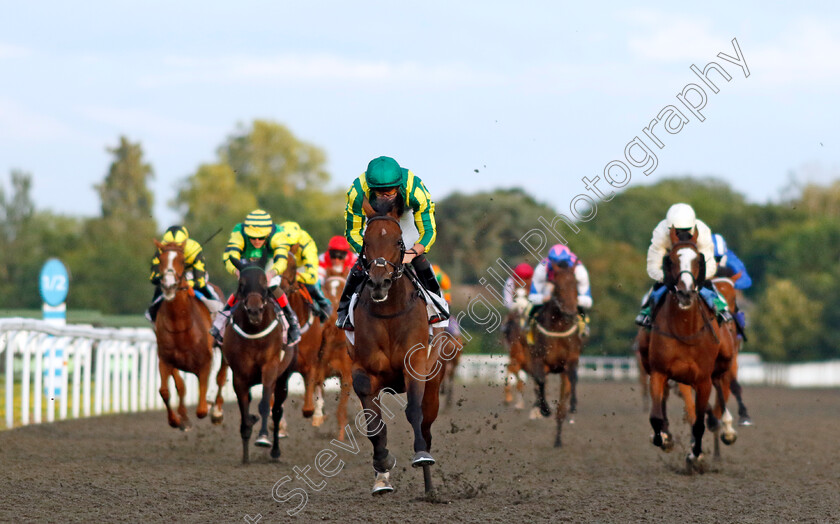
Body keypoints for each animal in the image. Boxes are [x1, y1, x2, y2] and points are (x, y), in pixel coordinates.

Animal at [153, 241, 226, 430]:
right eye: (160, 260)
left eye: (182, 260)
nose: (169, 286)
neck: (180, 326)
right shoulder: (166, 359)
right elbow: (167, 390)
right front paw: (178, 420)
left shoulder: (205, 361)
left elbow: (201, 407)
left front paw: (208, 407)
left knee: (221, 378)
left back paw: (217, 411)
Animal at [225, 258, 296, 462]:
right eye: (241, 284)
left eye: (264, 284)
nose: (255, 311)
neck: (254, 333)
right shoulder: (239, 376)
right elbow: (244, 408)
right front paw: (245, 452)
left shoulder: (270, 368)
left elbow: (265, 405)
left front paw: (263, 438)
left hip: (282, 379)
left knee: (277, 411)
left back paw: (275, 451)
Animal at [350, 203, 442, 494]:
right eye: (366, 242)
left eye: (398, 242)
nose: (379, 283)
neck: (389, 312)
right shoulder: (363, 372)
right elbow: (374, 426)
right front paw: (382, 464)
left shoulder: (415, 365)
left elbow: (414, 411)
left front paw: (421, 456)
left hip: (434, 383)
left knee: (427, 425)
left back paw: (429, 485)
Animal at [528, 258, 580, 446]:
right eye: (557, 284)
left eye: (576, 283)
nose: (571, 311)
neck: (558, 325)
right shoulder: (539, 360)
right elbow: (540, 381)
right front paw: (544, 409)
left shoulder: (570, 362)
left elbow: (571, 381)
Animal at [644, 229, 736, 470]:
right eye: (671, 259)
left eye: (698, 260)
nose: (685, 294)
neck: (685, 329)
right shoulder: (659, 372)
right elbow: (656, 416)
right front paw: (663, 438)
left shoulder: (702, 380)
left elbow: (699, 424)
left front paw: (695, 456)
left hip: (723, 362)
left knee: (719, 390)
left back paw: (726, 428)